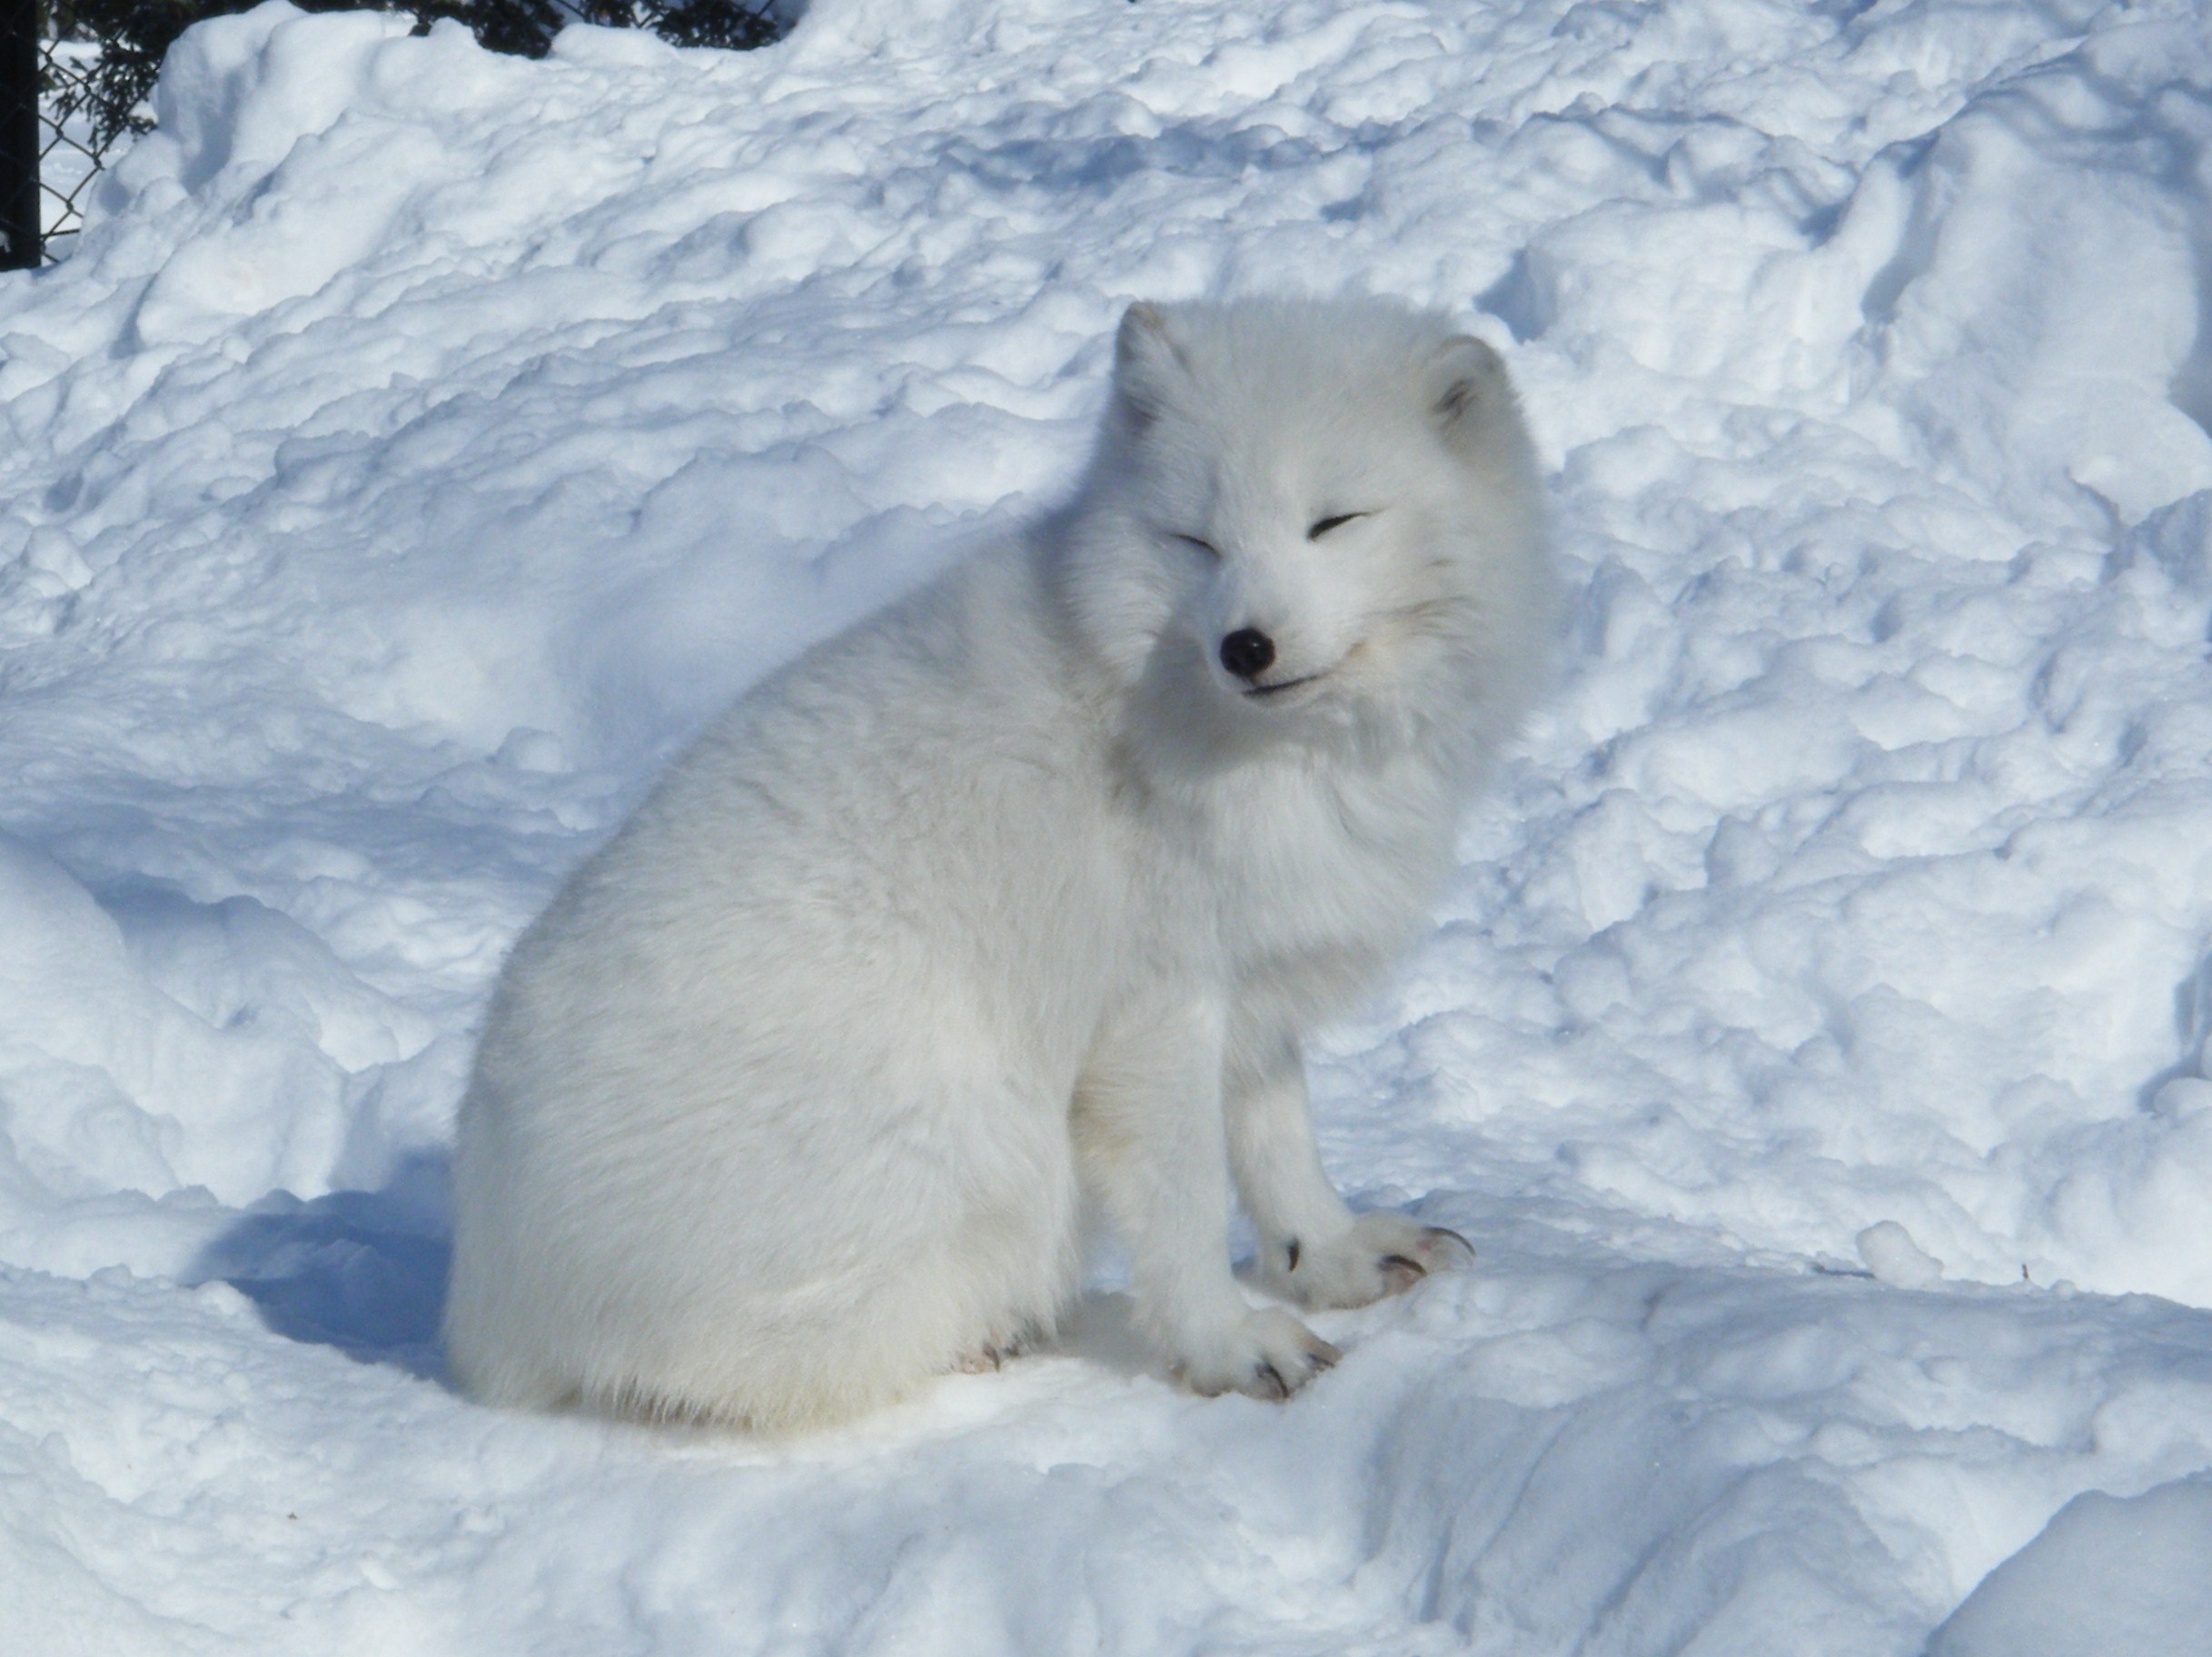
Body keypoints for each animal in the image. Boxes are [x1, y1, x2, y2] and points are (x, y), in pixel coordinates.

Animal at [440, 293, 1557, 1424]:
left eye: (1334, 522)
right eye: (1194, 540)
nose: (1243, 646)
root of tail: (487, 1309)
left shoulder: (1252, 984)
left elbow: (1281, 1147)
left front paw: (1328, 1258)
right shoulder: (1156, 1009)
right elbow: (1190, 1197)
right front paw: (1226, 1344)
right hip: (978, 1150)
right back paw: (993, 1334)